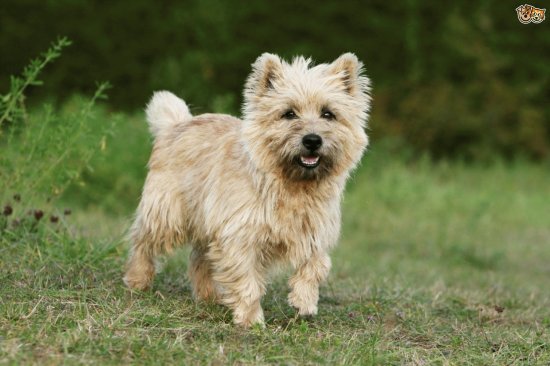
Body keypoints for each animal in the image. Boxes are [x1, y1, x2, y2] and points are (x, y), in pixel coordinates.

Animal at [124, 53, 374, 328]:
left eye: (328, 114)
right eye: (289, 114)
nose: (312, 140)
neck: (293, 186)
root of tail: (177, 123)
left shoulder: (313, 231)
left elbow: (317, 265)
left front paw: (304, 301)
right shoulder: (240, 235)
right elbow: (247, 281)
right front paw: (251, 319)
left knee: (199, 258)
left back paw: (209, 296)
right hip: (167, 213)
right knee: (143, 241)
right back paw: (137, 280)